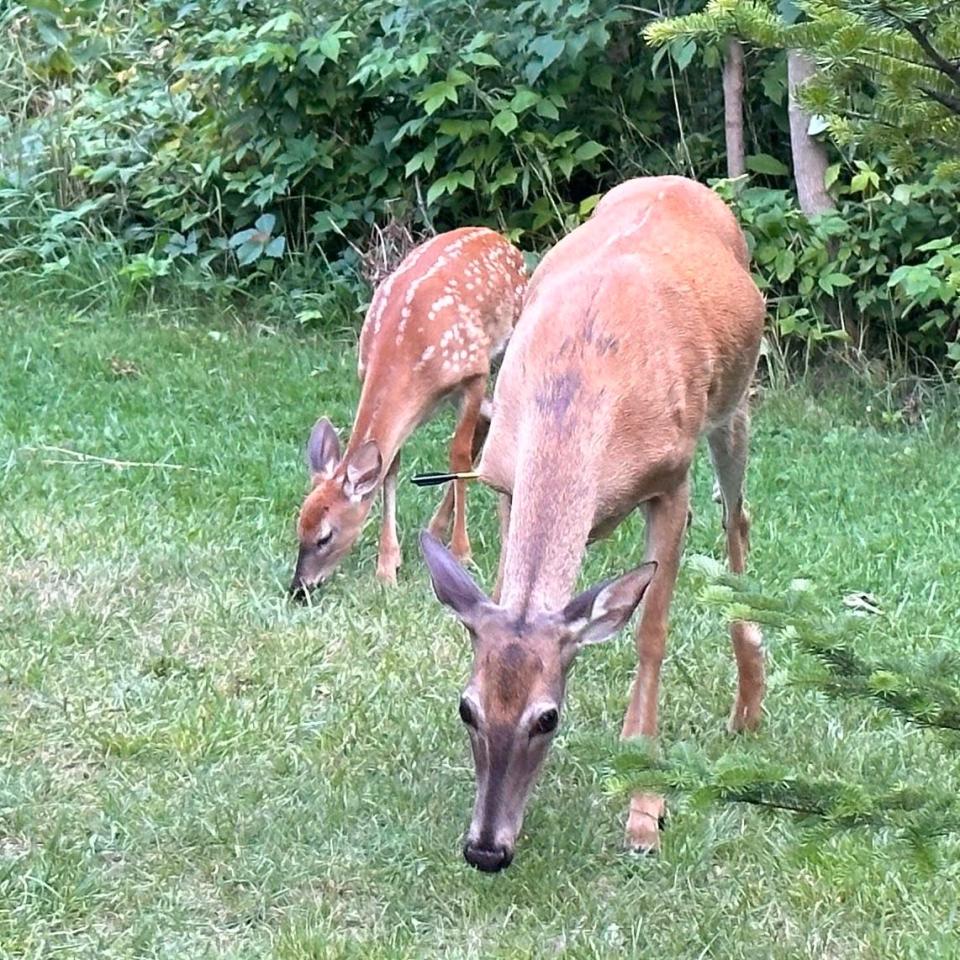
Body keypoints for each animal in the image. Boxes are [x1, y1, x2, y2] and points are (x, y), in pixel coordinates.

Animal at [292, 228, 524, 596]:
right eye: (299, 526)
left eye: (325, 536)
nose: (299, 587)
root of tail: (496, 236)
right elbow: (390, 467)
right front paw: (388, 565)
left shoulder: (473, 373)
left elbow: (458, 455)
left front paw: (462, 552)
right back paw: (435, 529)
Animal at [420, 174, 764, 872]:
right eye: (467, 708)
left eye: (548, 718)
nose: (486, 850)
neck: (578, 388)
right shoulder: (506, 481)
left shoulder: (670, 480)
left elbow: (650, 634)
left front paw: (644, 809)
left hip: (735, 404)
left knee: (736, 519)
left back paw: (749, 704)